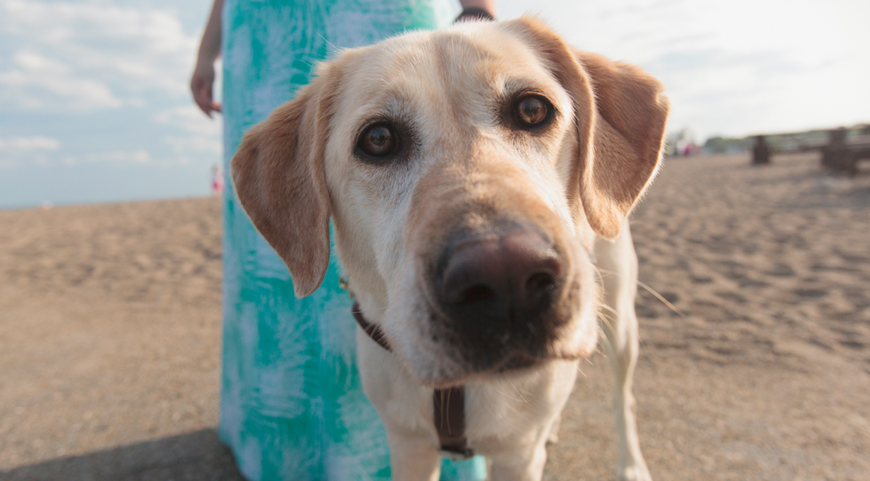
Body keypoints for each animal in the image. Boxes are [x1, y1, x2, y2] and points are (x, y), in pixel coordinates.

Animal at [230, 15, 668, 480]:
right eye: (378, 138)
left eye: (532, 110)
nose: (506, 276)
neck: (461, 390)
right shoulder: (408, 446)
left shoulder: (518, 454)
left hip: (622, 323)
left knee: (624, 398)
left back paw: (631, 465)